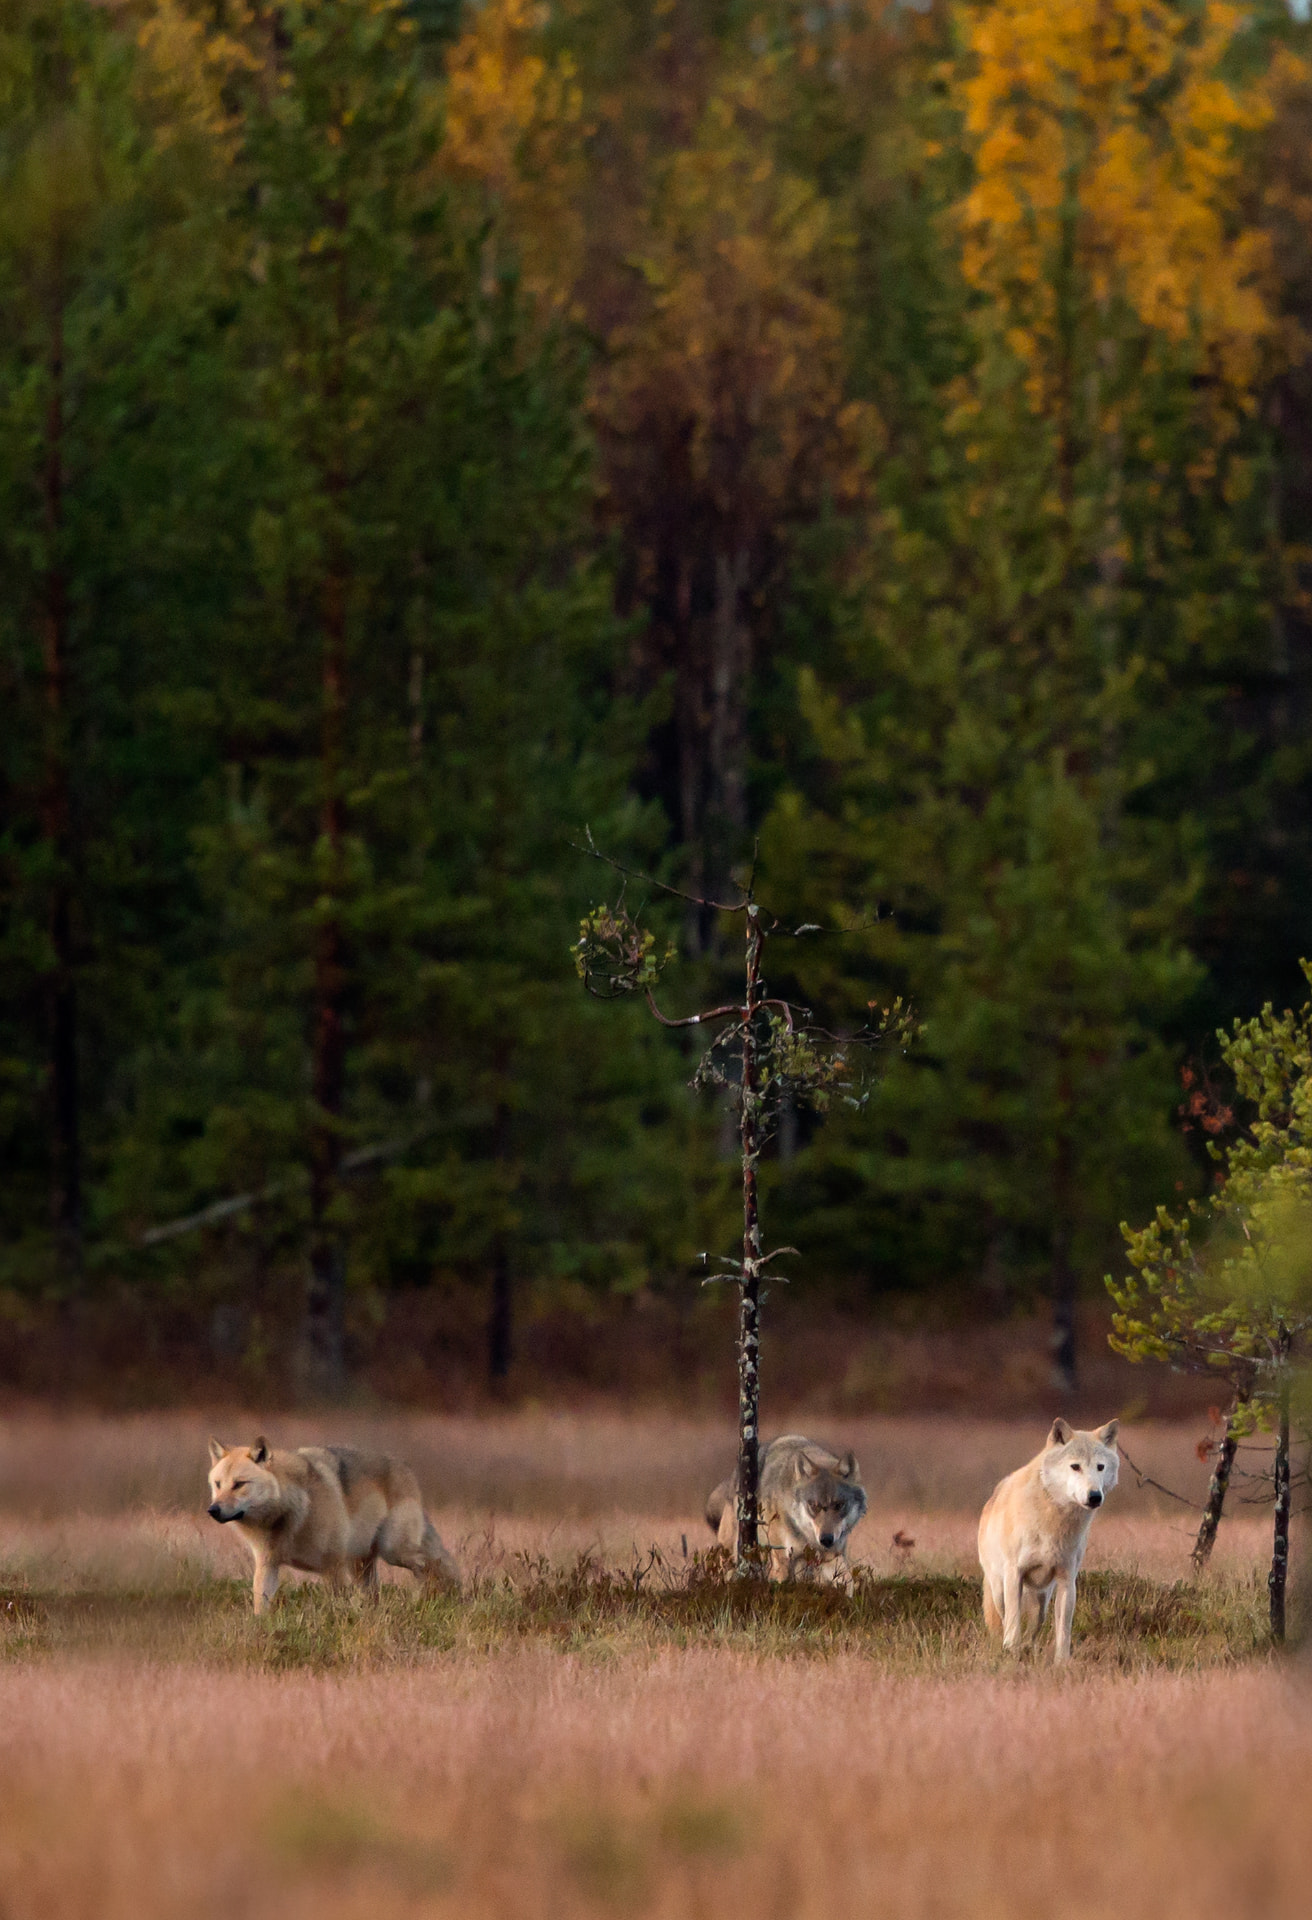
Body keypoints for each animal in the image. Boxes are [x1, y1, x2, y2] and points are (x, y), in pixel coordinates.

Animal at [207, 1437, 460, 1614]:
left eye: (239, 1484)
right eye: (218, 1484)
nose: (213, 1510)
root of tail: (404, 1466)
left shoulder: (333, 1567)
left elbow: (335, 1607)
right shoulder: (267, 1565)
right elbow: (261, 1606)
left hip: (394, 1552)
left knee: (432, 1564)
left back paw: (428, 1596)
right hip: (361, 1566)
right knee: (376, 1594)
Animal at [705, 1434, 867, 1586]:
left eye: (839, 1505)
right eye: (813, 1505)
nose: (826, 1539)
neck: (805, 1535)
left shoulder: (830, 1557)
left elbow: (848, 1581)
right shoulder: (782, 1561)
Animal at [978, 1417, 1119, 1663]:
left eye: (1100, 1467)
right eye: (1075, 1466)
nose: (1094, 1496)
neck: (1054, 1519)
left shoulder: (1066, 1580)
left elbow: (1063, 1631)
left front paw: (1062, 1664)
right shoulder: (1014, 1575)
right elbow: (1013, 1624)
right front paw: (1011, 1653)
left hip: (1042, 1600)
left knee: (1034, 1628)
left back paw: (1029, 1650)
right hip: (999, 1590)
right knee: (1004, 1621)